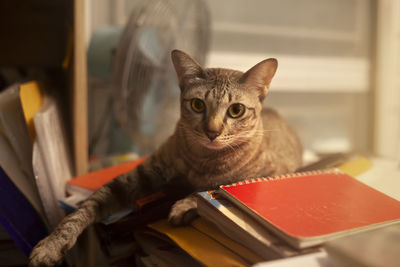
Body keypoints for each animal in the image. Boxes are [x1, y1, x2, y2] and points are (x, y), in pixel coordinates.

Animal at [29, 49, 302, 266]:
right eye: (197, 105)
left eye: (236, 110)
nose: (212, 132)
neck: (203, 161)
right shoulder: (137, 176)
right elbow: (84, 208)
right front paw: (51, 244)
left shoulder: (268, 174)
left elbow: (214, 189)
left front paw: (185, 204)